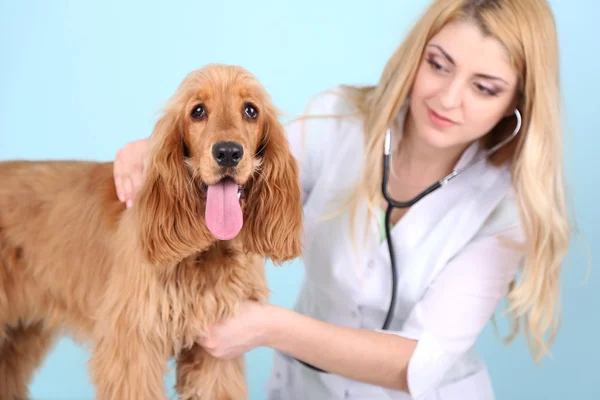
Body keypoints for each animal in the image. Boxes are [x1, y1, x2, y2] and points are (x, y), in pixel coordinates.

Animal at [0, 64, 302, 398]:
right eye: (198, 111)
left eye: (250, 110)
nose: (227, 153)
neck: (208, 250)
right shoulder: (132, 347)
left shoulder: (215, 355)